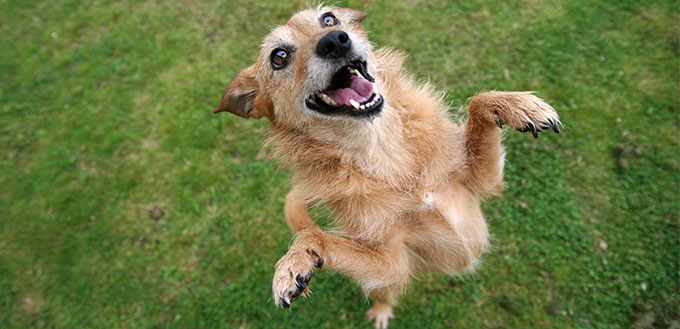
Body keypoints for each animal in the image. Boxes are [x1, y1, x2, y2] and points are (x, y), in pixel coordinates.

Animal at [214, 5, 564, 328]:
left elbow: (478, 103)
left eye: (328, 19)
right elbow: (316, 236)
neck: (383, 150)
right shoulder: (392, 262)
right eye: (279, 56)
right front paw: (296, 260)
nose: (335, 40)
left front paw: (519, 106)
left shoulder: (480, 183)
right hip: (385, 282)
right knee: (384, 293)